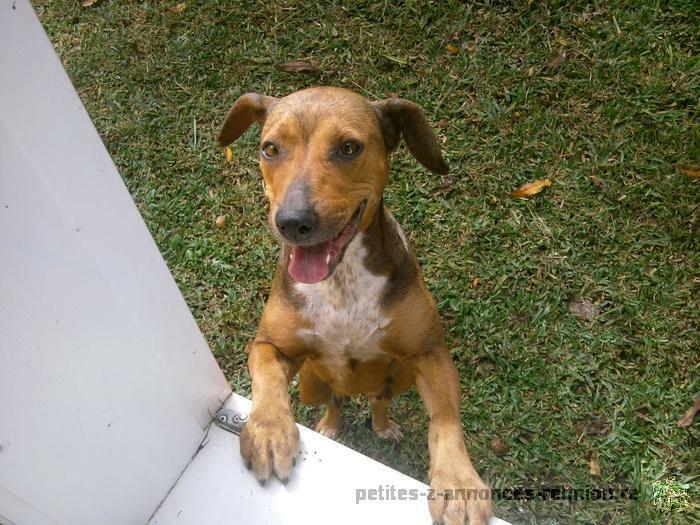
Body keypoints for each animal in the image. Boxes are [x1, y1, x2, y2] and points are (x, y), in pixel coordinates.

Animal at [219, 87, 492, 524]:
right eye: (270, 148)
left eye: (349, 147)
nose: (292, 222)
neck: (341, 281)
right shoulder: (269, 346)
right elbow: (267, 376)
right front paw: (269, 430)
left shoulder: (430, 354)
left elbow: (446, 420)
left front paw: (458, 482)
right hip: (310, 383)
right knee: (334, 399)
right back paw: (329, 425)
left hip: (399, 375)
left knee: (379, 399)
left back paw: (383, 425)